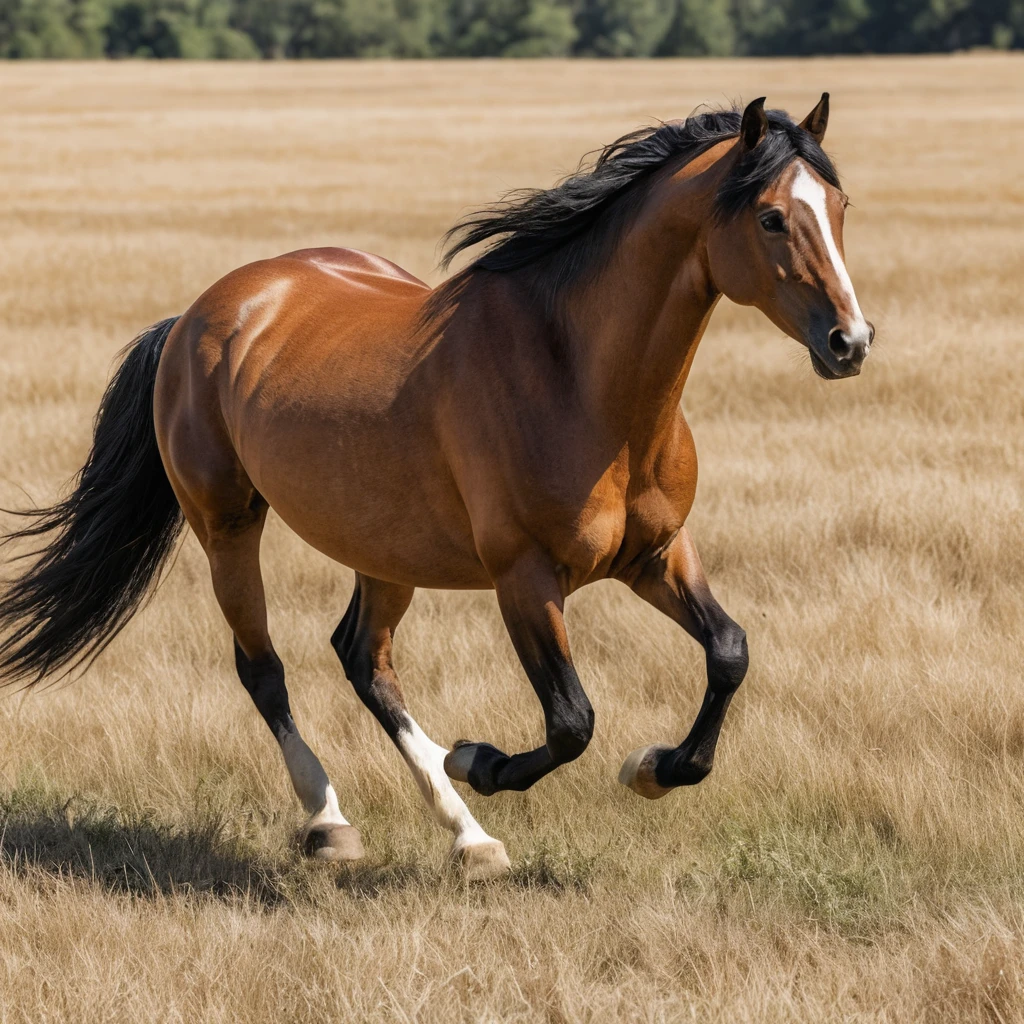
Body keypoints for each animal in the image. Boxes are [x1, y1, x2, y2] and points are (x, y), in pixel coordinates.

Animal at [0, 95, 872, 880]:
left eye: (839, 205)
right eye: (770, 217)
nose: (851, 342)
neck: (581, 381)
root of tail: (196, 317)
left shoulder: (655, 554)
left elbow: (729, 653)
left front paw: (653, 770)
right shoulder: (525, 579)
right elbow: (572, 722)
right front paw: (478, 760)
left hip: (385, 550)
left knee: (364, 660)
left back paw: (471, 839)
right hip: (228, 526)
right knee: (265, 669)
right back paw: (332, 821)